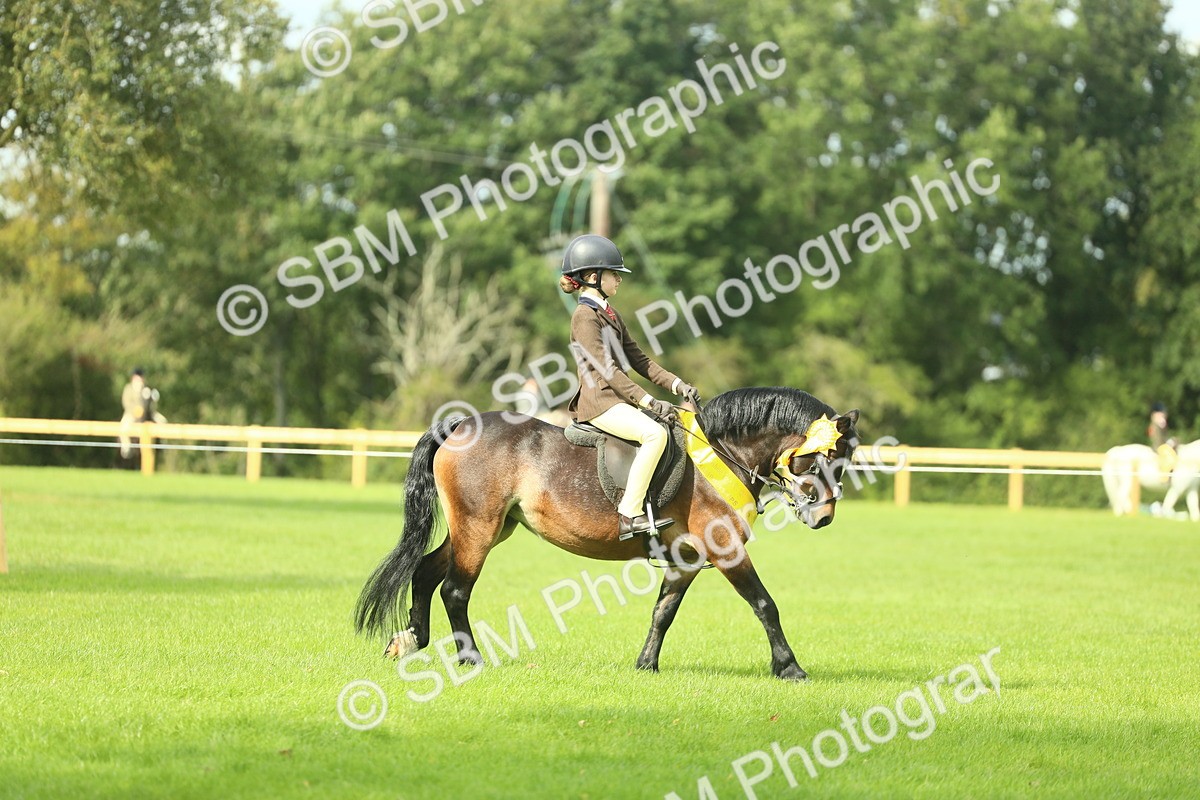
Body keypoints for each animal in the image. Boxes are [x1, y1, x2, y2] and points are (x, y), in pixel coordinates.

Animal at [355, 387, 860, 681]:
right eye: (819, 458)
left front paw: (646, 665)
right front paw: (790, 668)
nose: (823, 518)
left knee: (424, 572)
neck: (720, 451)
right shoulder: (725, 549)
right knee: (455, 589)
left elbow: (663, 612)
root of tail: (461, 422)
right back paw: (471, 659)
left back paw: (410, 640)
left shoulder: (687, 557)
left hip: (489, 529)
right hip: (478, 528)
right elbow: (764, 604)